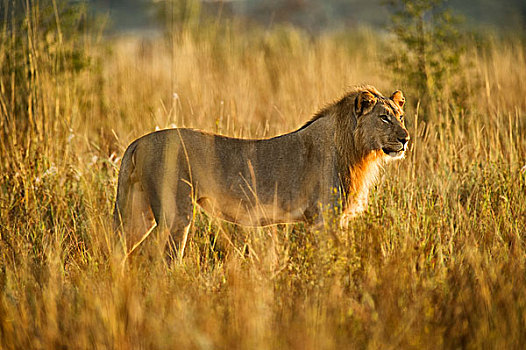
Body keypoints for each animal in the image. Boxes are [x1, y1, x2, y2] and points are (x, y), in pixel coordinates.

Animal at [114, 85, 412, 258]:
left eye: (400, 116)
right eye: (384, 118)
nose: (406, 138)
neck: (357, 151)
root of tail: (138, 142)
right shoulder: (323, 219)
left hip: (138, 210)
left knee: (121, 249)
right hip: (176, 213)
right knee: (158, 257)